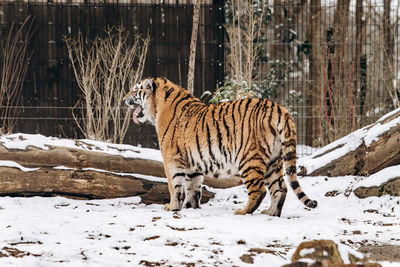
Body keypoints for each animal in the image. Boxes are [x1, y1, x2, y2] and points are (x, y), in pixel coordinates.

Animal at [123, 77, 318, 218]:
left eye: (135, 89)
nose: (124, 99)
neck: (157, 108)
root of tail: (278, 108)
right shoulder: (192, 164)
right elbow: (192, 188)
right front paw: (190, 207)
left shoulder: (171, 159)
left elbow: (174, 186)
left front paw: (172, 207)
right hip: (273, 160)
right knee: (280, 188)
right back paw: (271, 213)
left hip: (249, 159)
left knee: (259, 190)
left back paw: (243, 211)